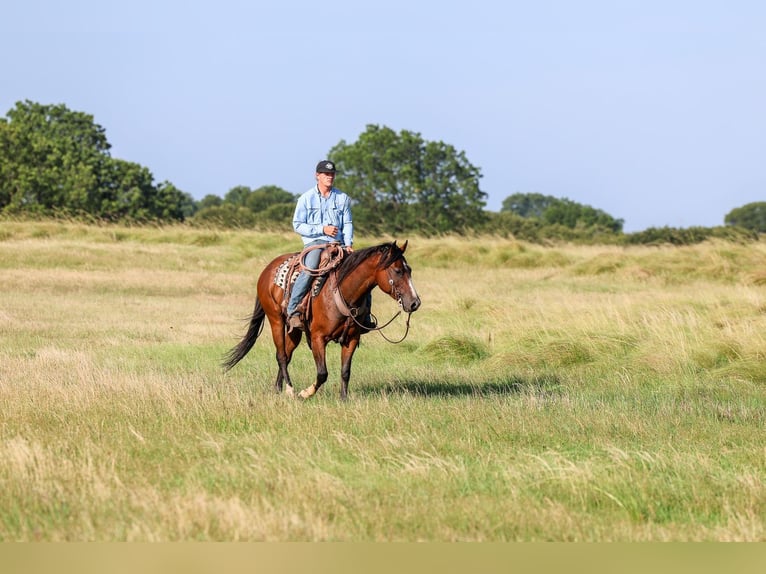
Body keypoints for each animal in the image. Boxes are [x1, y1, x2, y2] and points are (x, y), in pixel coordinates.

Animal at [222, 241, 421, 400]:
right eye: (397, 271)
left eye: (410, 270)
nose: (415, 303)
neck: (342, 292)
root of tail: (268, 269)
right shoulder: (318, 338)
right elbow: (322, 373)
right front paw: (306, 393)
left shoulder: (352, 339)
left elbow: (345, 371)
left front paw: (343, 399)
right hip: (276, 320)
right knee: (281, 356)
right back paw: (290, 389)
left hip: (294, 330)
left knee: (287, 354)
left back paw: (279, 388)